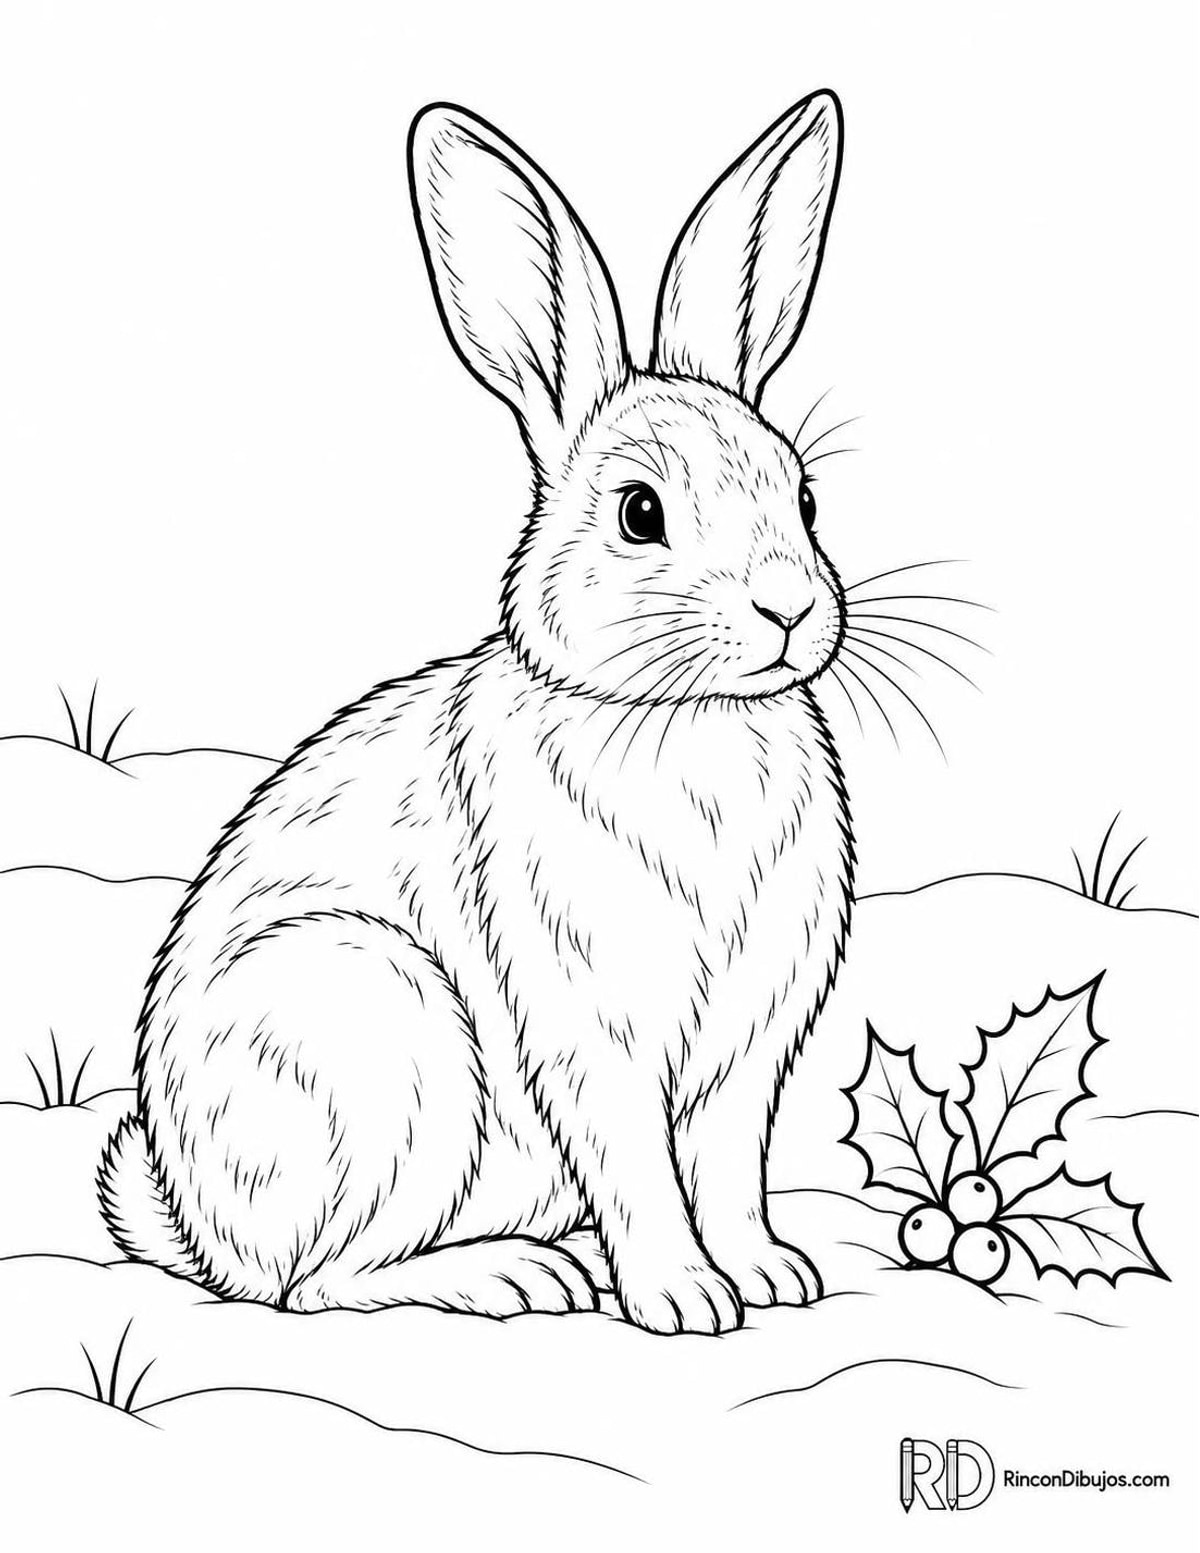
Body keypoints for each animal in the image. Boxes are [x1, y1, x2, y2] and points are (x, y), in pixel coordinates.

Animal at [98, 90, 854, 1335]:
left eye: (804, 495)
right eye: (640, 512)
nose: (789, 608)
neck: (682, 712)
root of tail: (202, 1229)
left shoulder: (749, 1049)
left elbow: (730, 1166)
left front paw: (770, 1273)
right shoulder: (592, 1030)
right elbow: (641, 1168)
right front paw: (683, 1297)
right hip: (383, 1039)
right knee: (318, 1282)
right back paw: (516, 1274)